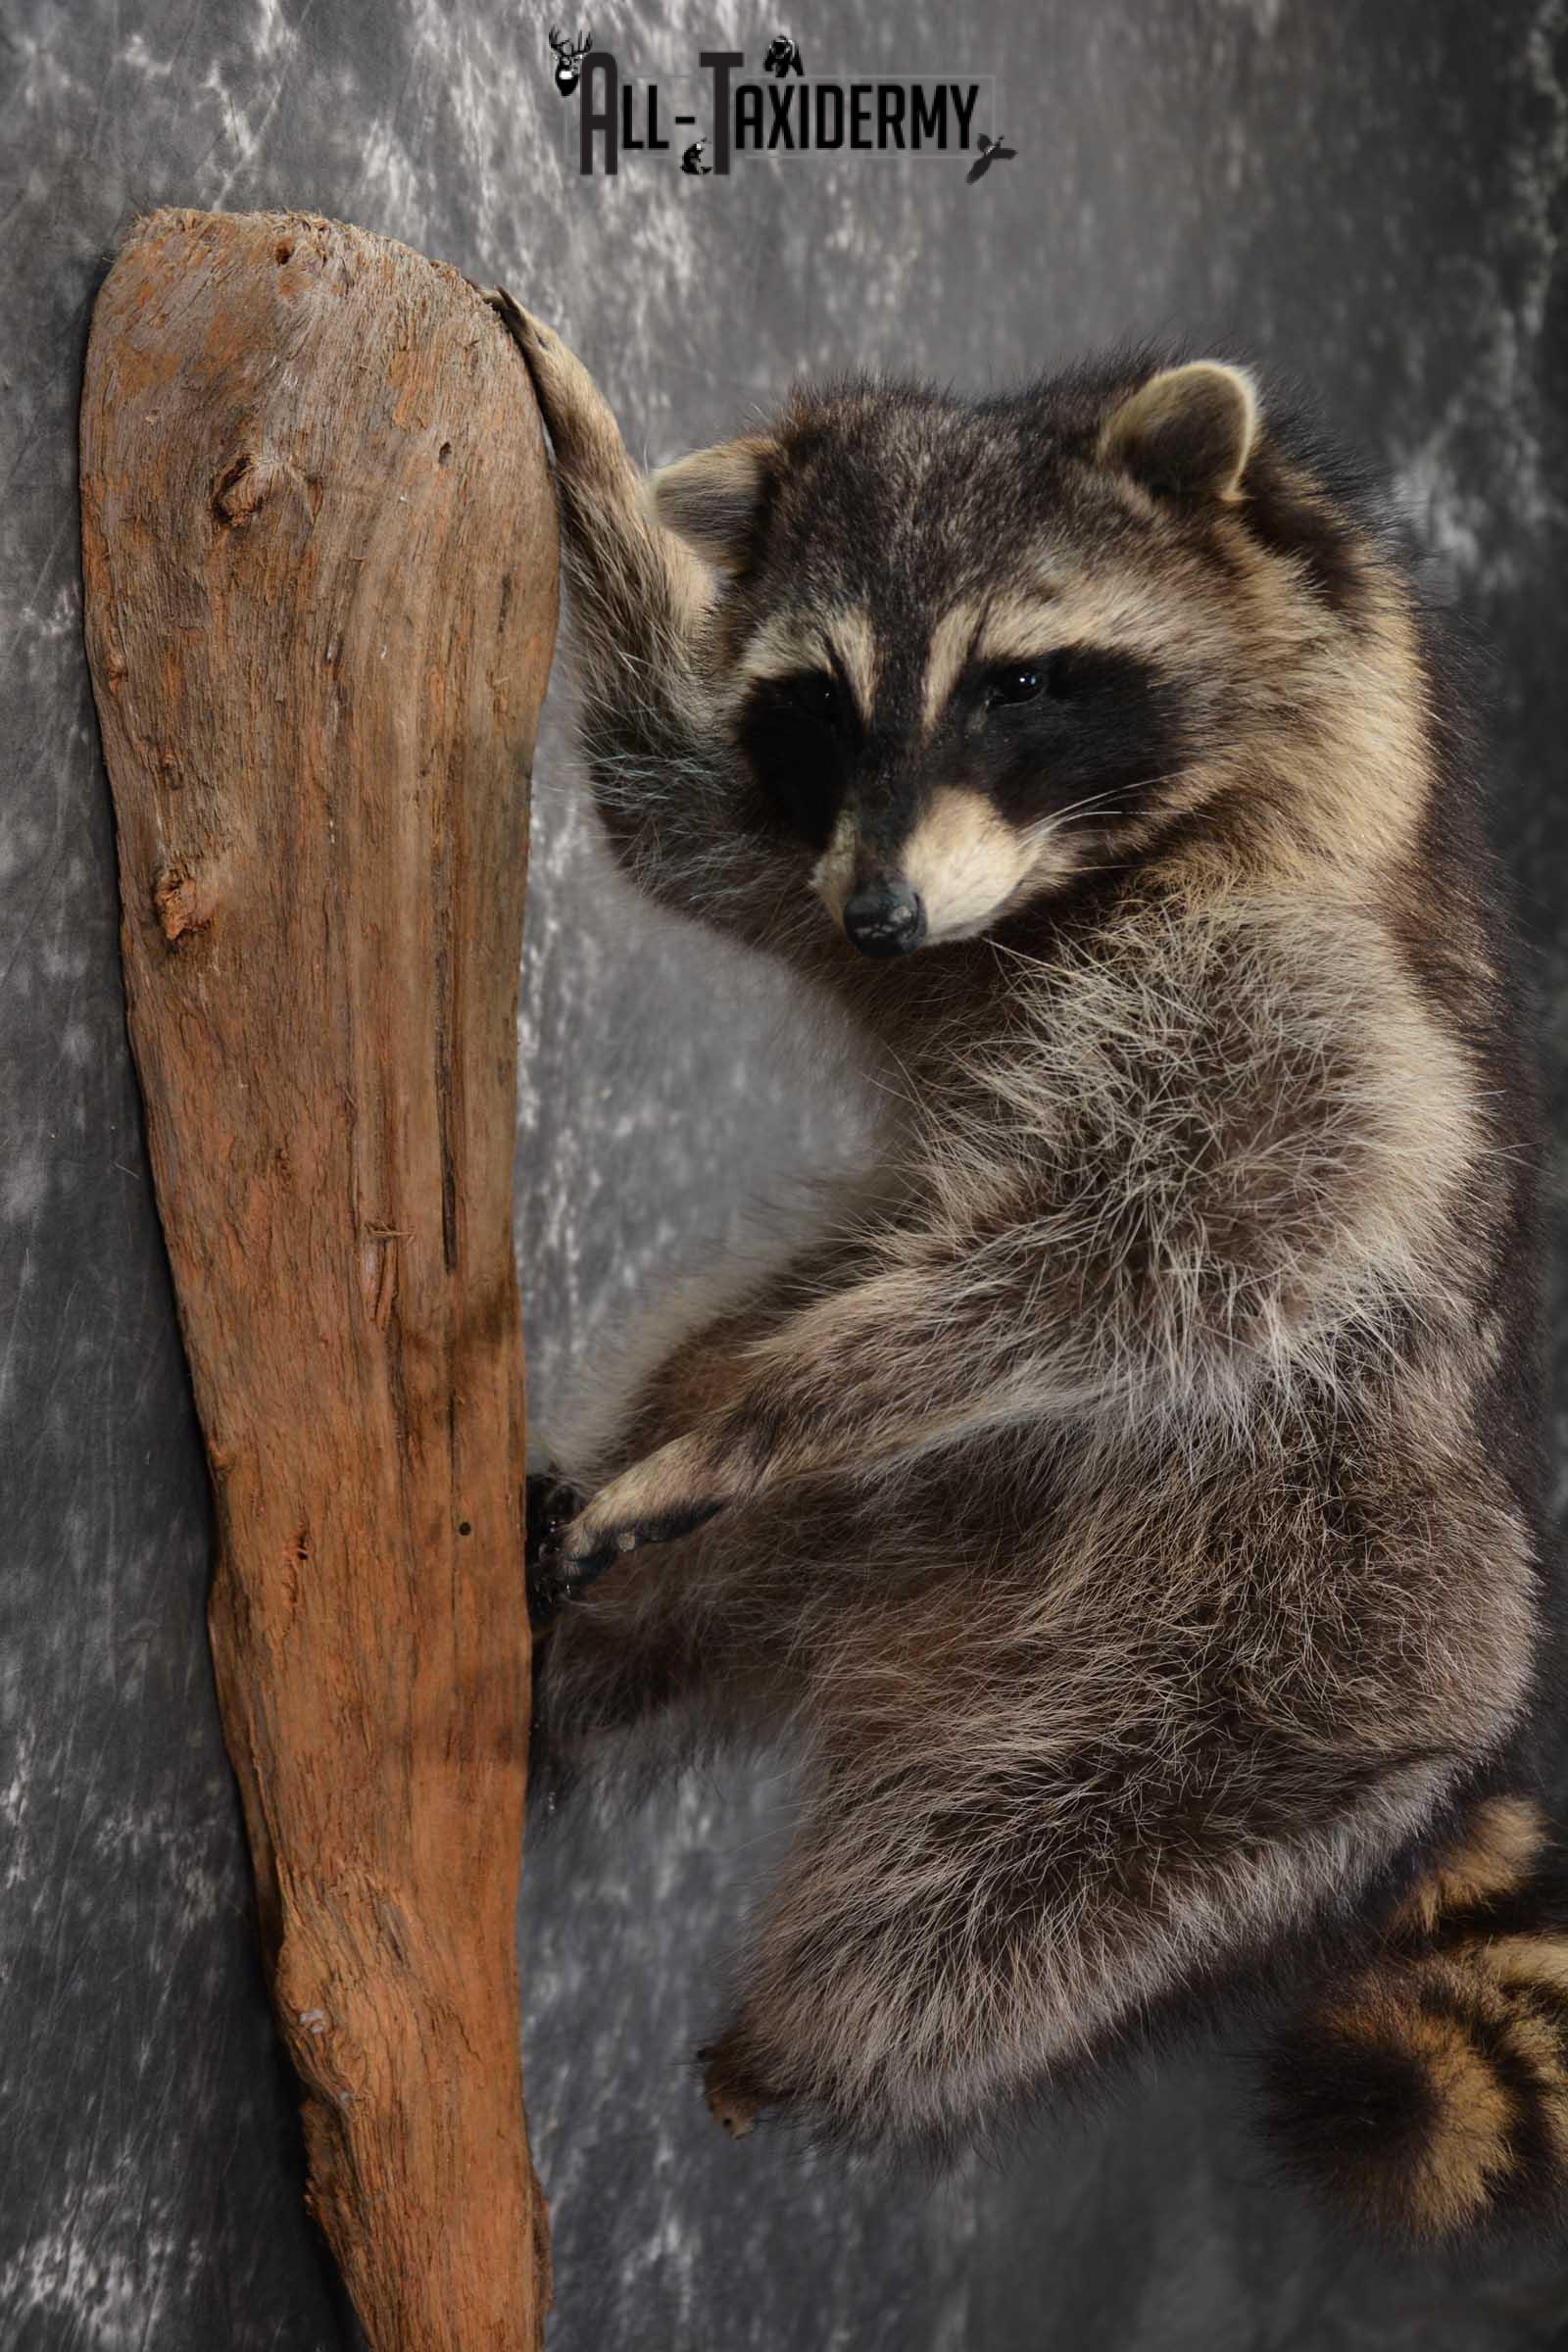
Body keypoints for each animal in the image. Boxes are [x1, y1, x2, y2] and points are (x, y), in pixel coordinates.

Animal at [491, 290, 1555, 2237]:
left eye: (1021, 683)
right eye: (822, 702)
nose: (877, 919)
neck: (1079, 873)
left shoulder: (1325, 1015)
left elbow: (1142, 1263)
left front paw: (766, 1412)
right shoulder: (860, 877)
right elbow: (676, 805)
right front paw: (587, 460)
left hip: (1278, 1666)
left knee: (983, 1894)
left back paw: (798, 2045)